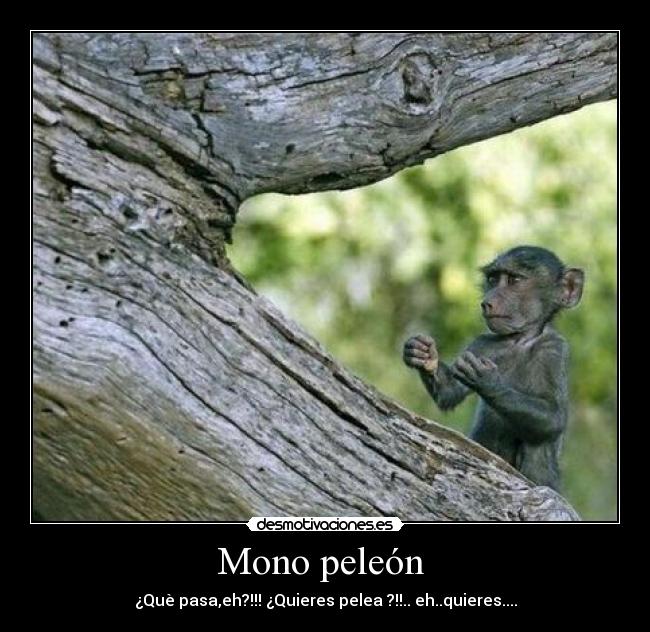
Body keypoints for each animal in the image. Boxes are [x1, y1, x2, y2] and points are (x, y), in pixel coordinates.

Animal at [403, 246, 584, 491]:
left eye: (514, 280)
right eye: (493, 279)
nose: (487, 301)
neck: (519, 340)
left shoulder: (555, 350)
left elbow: (553, 417)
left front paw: (488, 381)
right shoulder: (483, 343)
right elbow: (449, 391)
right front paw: (425, 354)